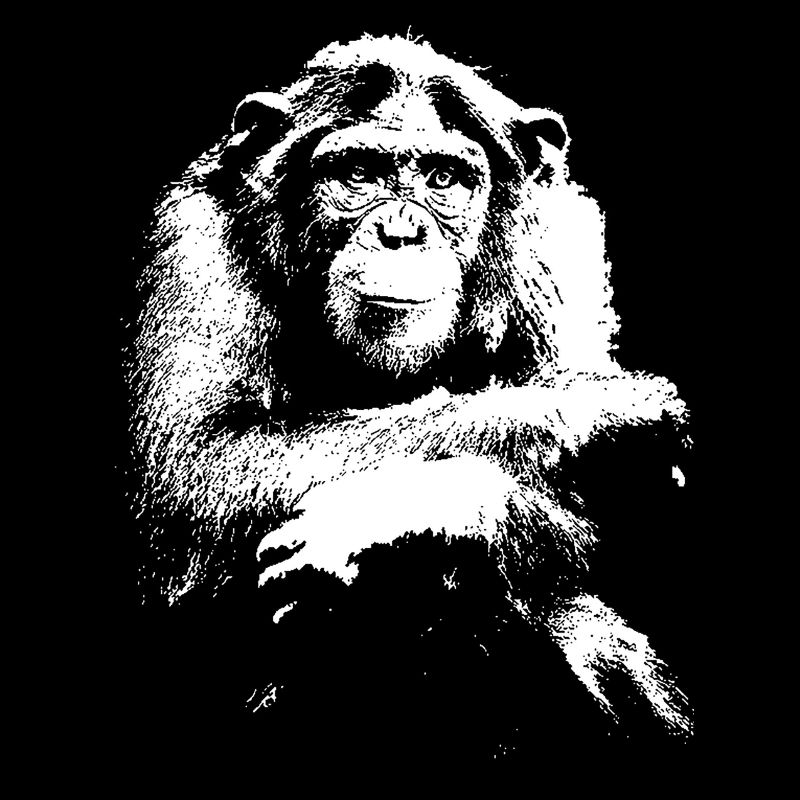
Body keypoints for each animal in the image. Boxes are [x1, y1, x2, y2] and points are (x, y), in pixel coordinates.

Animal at [128, 34, 693, 753]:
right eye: (359, 173)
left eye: (443, 179)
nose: (401, 231)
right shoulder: (197, 242)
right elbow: (200, 460)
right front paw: (590, 423)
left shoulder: (561, 251)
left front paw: (413, 517)